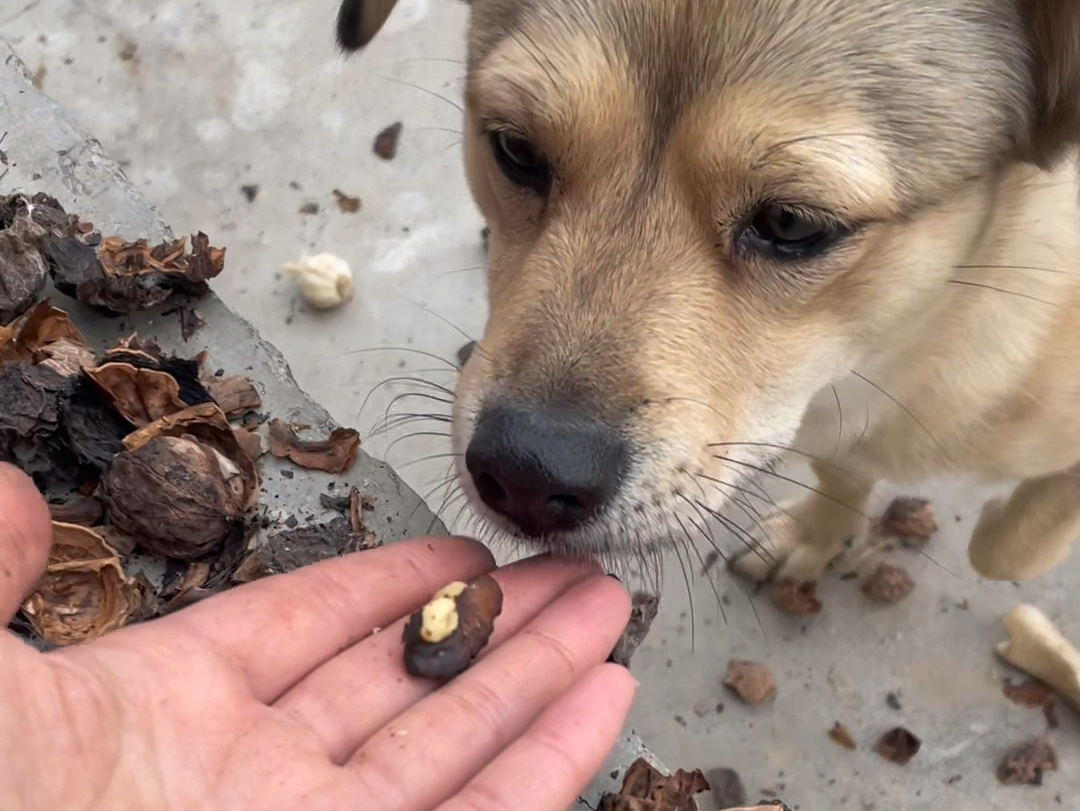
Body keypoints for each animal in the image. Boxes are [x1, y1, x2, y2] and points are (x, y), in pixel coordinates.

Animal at [341, 0, 1080, 583]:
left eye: (792, 223)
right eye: (515, 149)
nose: (525, 478)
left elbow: (1006, 549)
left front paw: (991, 519)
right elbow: (845, 470)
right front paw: (816, 533)